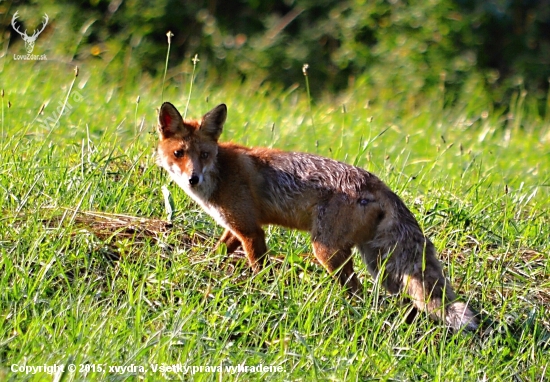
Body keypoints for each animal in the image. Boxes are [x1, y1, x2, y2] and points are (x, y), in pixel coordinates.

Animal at [156, 101, 484, 332]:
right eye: (179, 154)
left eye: (204, 154)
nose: (193, 179)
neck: (221, 173)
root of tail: (378, 183)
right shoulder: (238, 226)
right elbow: (219, 251)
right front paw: (202, 269)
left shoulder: (251, 231)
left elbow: (261, 270)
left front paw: (264, 293)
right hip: (378, 264)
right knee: (400, 298)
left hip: (327, 251)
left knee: (358, 292)